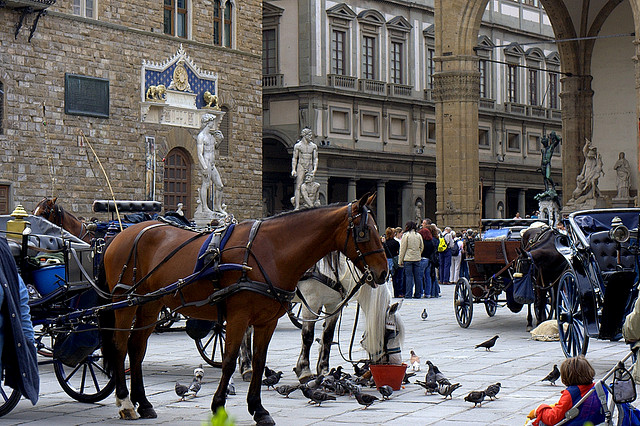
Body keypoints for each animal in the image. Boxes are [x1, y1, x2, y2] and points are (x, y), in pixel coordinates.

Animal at [98, 195, 388, 424]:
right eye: (364, 232)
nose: (384, 272)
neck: (272, 251)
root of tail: (122, 234)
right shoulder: (240, 316)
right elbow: (228, 360)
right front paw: (218, 405)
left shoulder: (268, 320)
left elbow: (261, 361)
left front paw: (258, 408)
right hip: (123, 301)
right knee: (120, 346)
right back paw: (125, 402)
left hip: (149, 303)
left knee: (137, 348)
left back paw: (144, 403)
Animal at [292, 251, 402, 384]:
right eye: (390, 334)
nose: (397, 361)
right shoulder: (311, 302)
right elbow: (308, 337)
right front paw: (304, 371)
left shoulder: (333, 306)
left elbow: (327, 336)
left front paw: (324, 370)